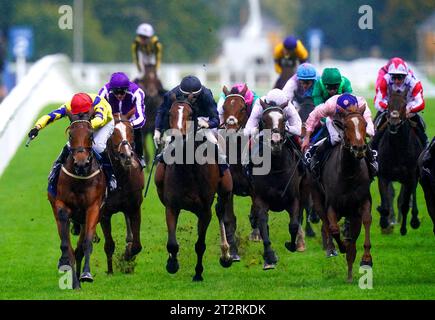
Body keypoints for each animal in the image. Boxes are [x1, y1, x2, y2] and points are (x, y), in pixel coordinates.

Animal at [48, 112, 106, 290]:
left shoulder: (93, 208)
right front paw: (73, 280)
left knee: (80, 248)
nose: (81, 163)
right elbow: (66, 246)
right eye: (71, 135)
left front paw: (86, 275)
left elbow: (86, 243)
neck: (79, 178)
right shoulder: (62, 207)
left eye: (91, 135)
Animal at [100, 109, 145, 272]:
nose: (126, 155)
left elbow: (137, 246)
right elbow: (109, 245)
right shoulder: (104, 214)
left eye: (131, 130)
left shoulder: (134, 208)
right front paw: (110, 271)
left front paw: (127, 255)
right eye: (112, 132)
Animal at [154, 95, 233, 280]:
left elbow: (200, 244)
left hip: (225, 190)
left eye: (190, 115)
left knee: (221, 211)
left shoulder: (205, 211)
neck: (188, 169)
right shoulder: (171, 206)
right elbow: (172, 242)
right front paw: (172, 263)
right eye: (170, 113)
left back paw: (226, 254)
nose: (176, 137)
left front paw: (198, 273)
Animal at [250, 100, 302, 270]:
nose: (276, 142)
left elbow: (293, 225)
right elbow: (262, 223)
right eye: (263, 120)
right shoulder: (261, 200)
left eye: (284, 119)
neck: (276, 167)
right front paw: (270, 256)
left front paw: (291, 245)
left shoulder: (294, 199)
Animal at [310, 106, 374, 282]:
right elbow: (334, 229)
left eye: (365, 124)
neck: (348, 173)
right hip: (317, 200)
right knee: (326, 225)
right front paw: (342, 247)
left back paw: (350, 272)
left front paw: (366, 259)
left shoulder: (361, 203)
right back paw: (332, 249)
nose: (359, 148)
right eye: (345, 126)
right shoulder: (332, 205)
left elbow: (366, 221)